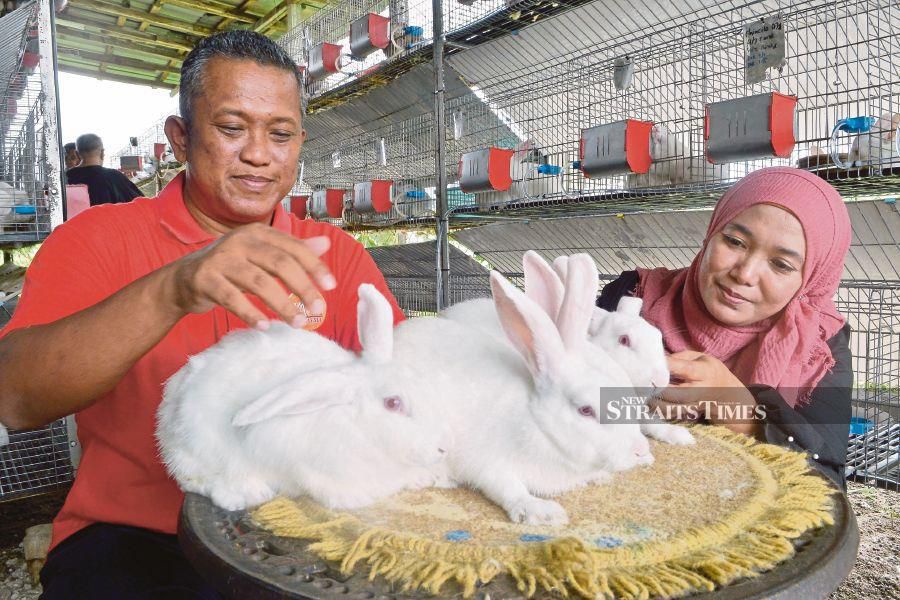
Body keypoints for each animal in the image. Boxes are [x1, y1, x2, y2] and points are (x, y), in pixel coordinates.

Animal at [159, 284, 450, 510]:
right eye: (393, 403)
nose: (443, 448)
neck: (357, 426)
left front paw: (423, 477)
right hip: (196, 446)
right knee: (196, 481)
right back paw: (246, 494)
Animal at [400, 254, 652, 524]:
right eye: (586, 410)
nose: (640, 450)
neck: (537, 423)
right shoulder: (487, 462)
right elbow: (508, 487)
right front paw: (542, 512)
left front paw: (599, 476)